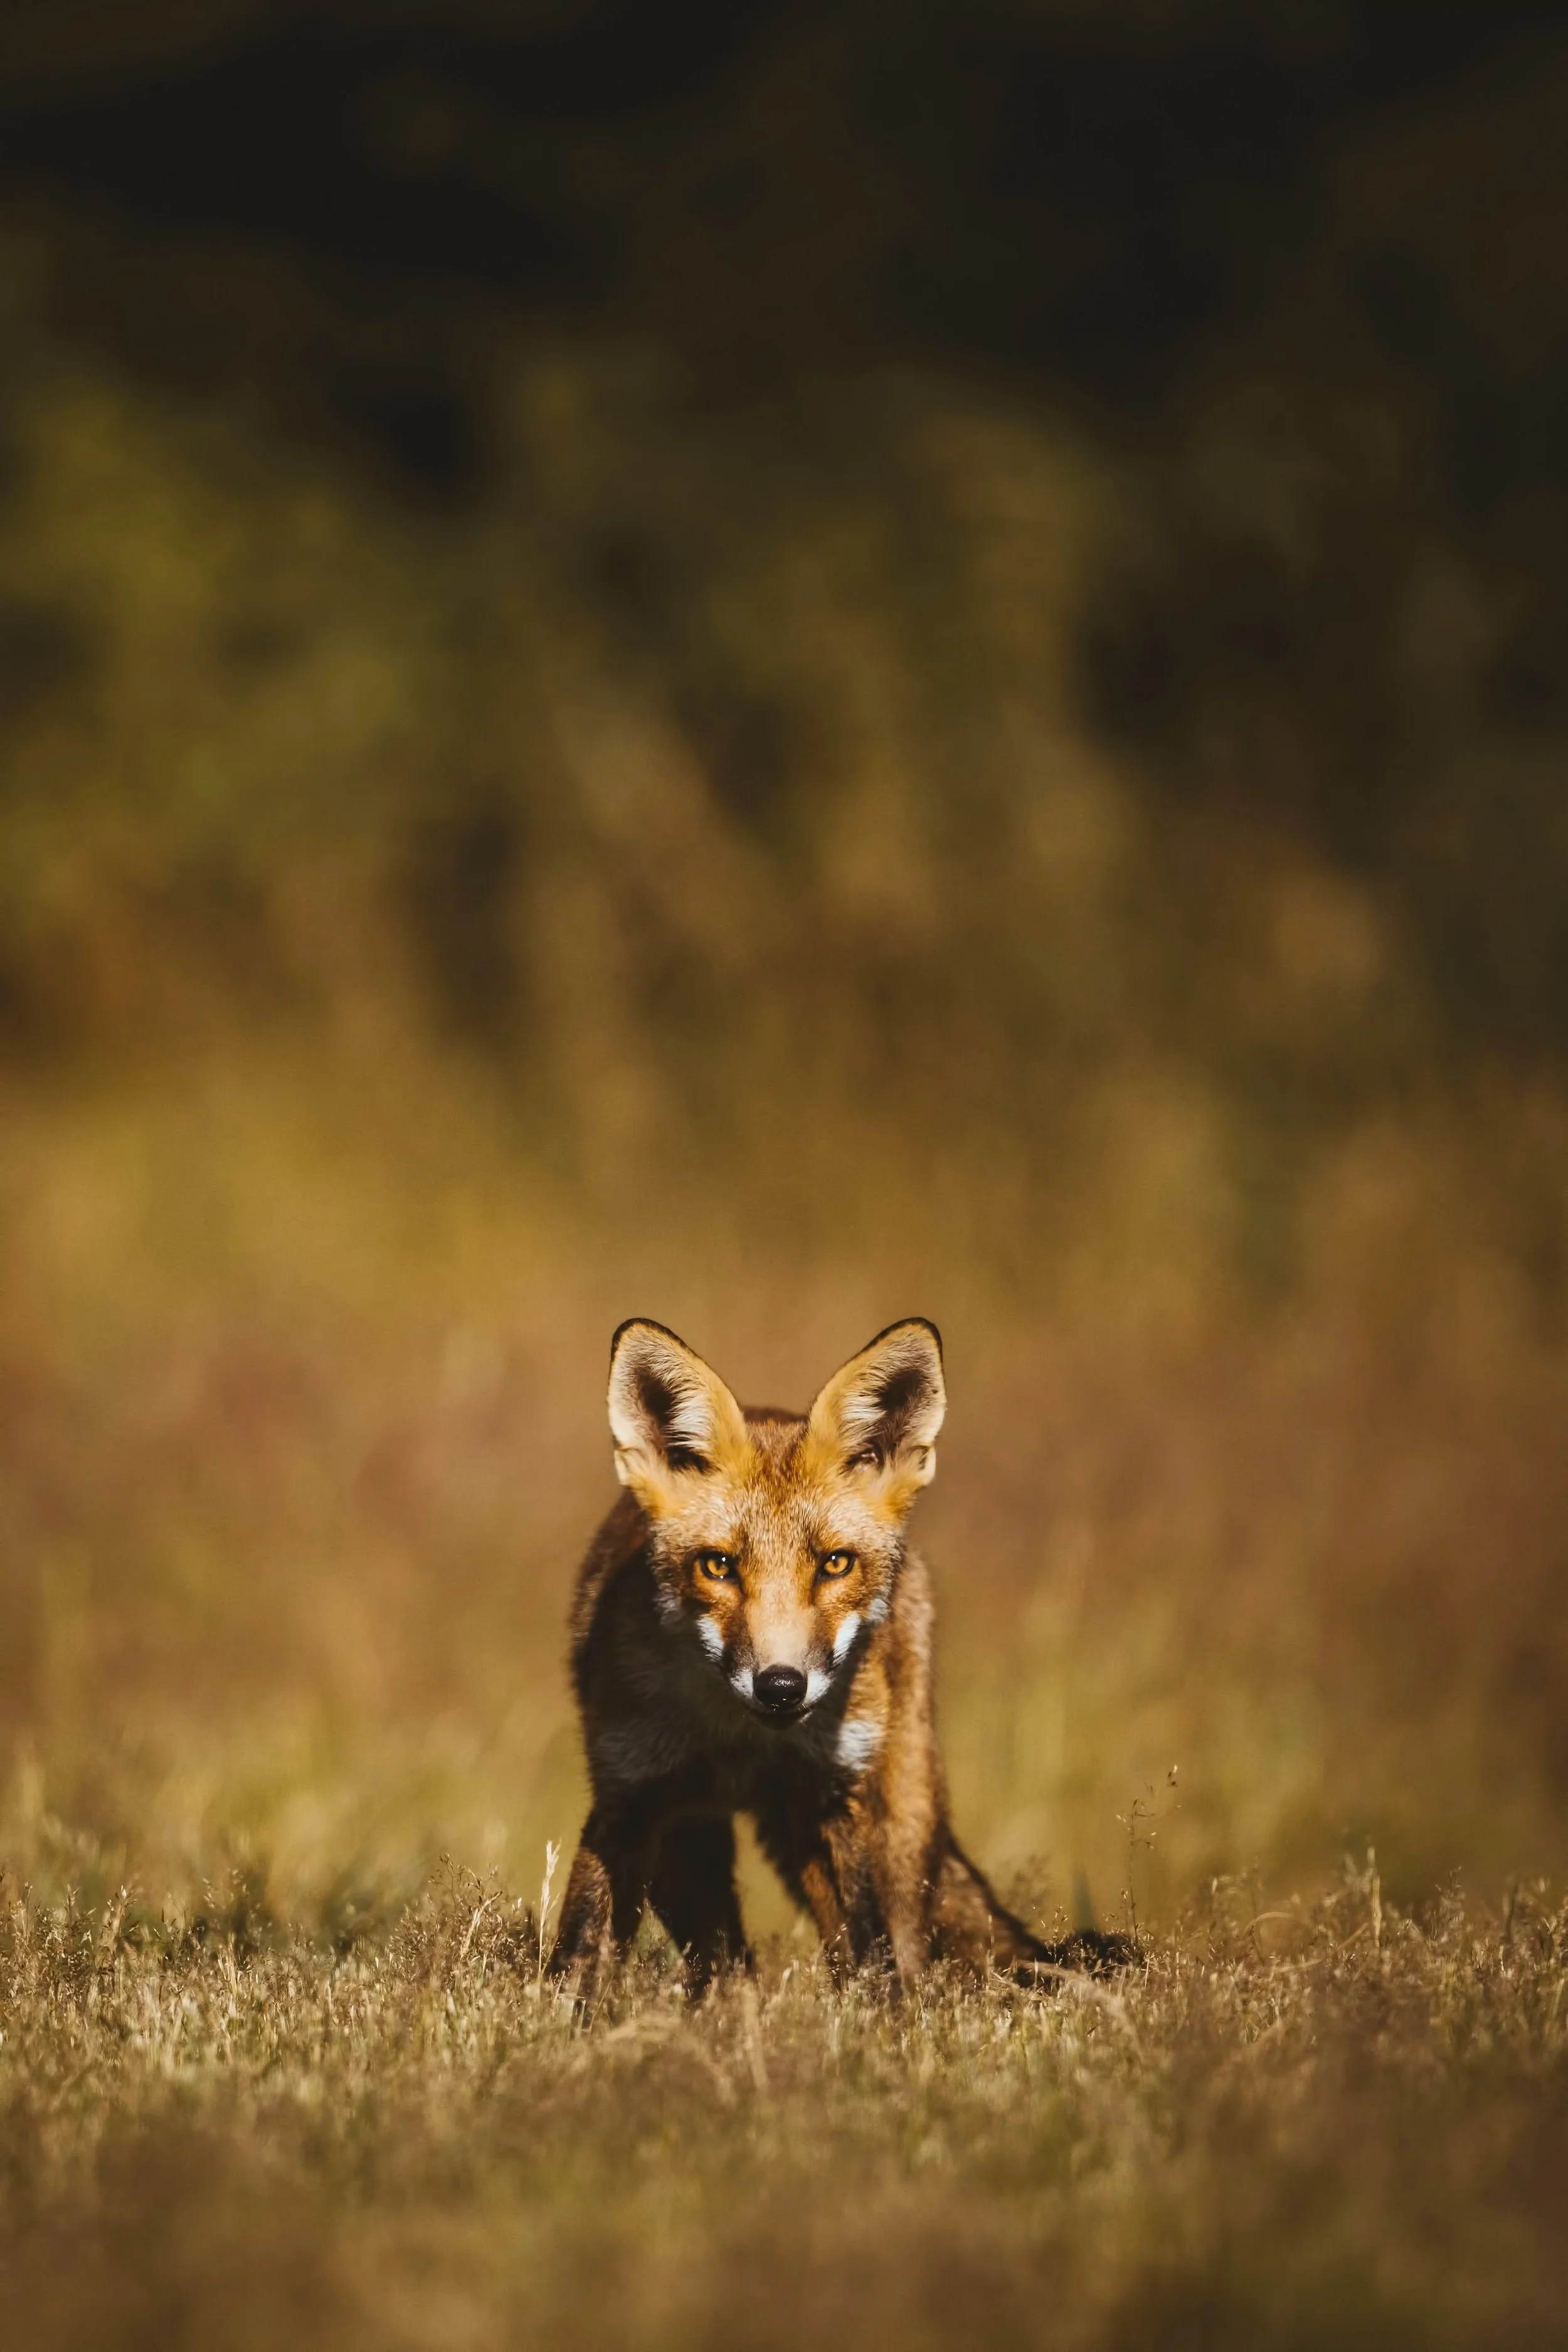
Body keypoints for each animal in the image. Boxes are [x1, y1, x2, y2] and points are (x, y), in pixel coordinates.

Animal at [546, 1315, 1131, 1998]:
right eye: (718, 1566)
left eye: (834, 1564)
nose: (779, 1686)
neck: (742, 1743)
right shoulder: (633, 1796)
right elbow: (580, 1952)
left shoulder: (832, 1801)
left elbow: (872, 1956)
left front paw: (877, 2023)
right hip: (695, 1842)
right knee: (725, 1958)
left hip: (893, 1810)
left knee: (906, 1943)